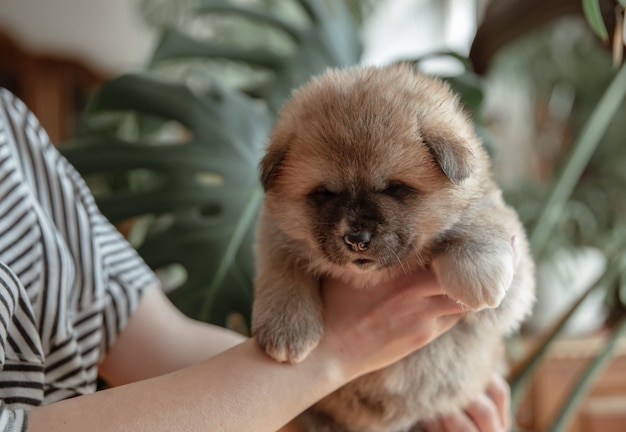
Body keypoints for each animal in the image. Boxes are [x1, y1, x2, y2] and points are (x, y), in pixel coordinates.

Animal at [251, 64, 532, 432]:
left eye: (395, 188)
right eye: (324, 193)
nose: (356, 237)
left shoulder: (510, 286)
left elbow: (484, 220)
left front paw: (477, 274)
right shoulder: (274, 232)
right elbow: (282, 267)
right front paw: (286, 329)